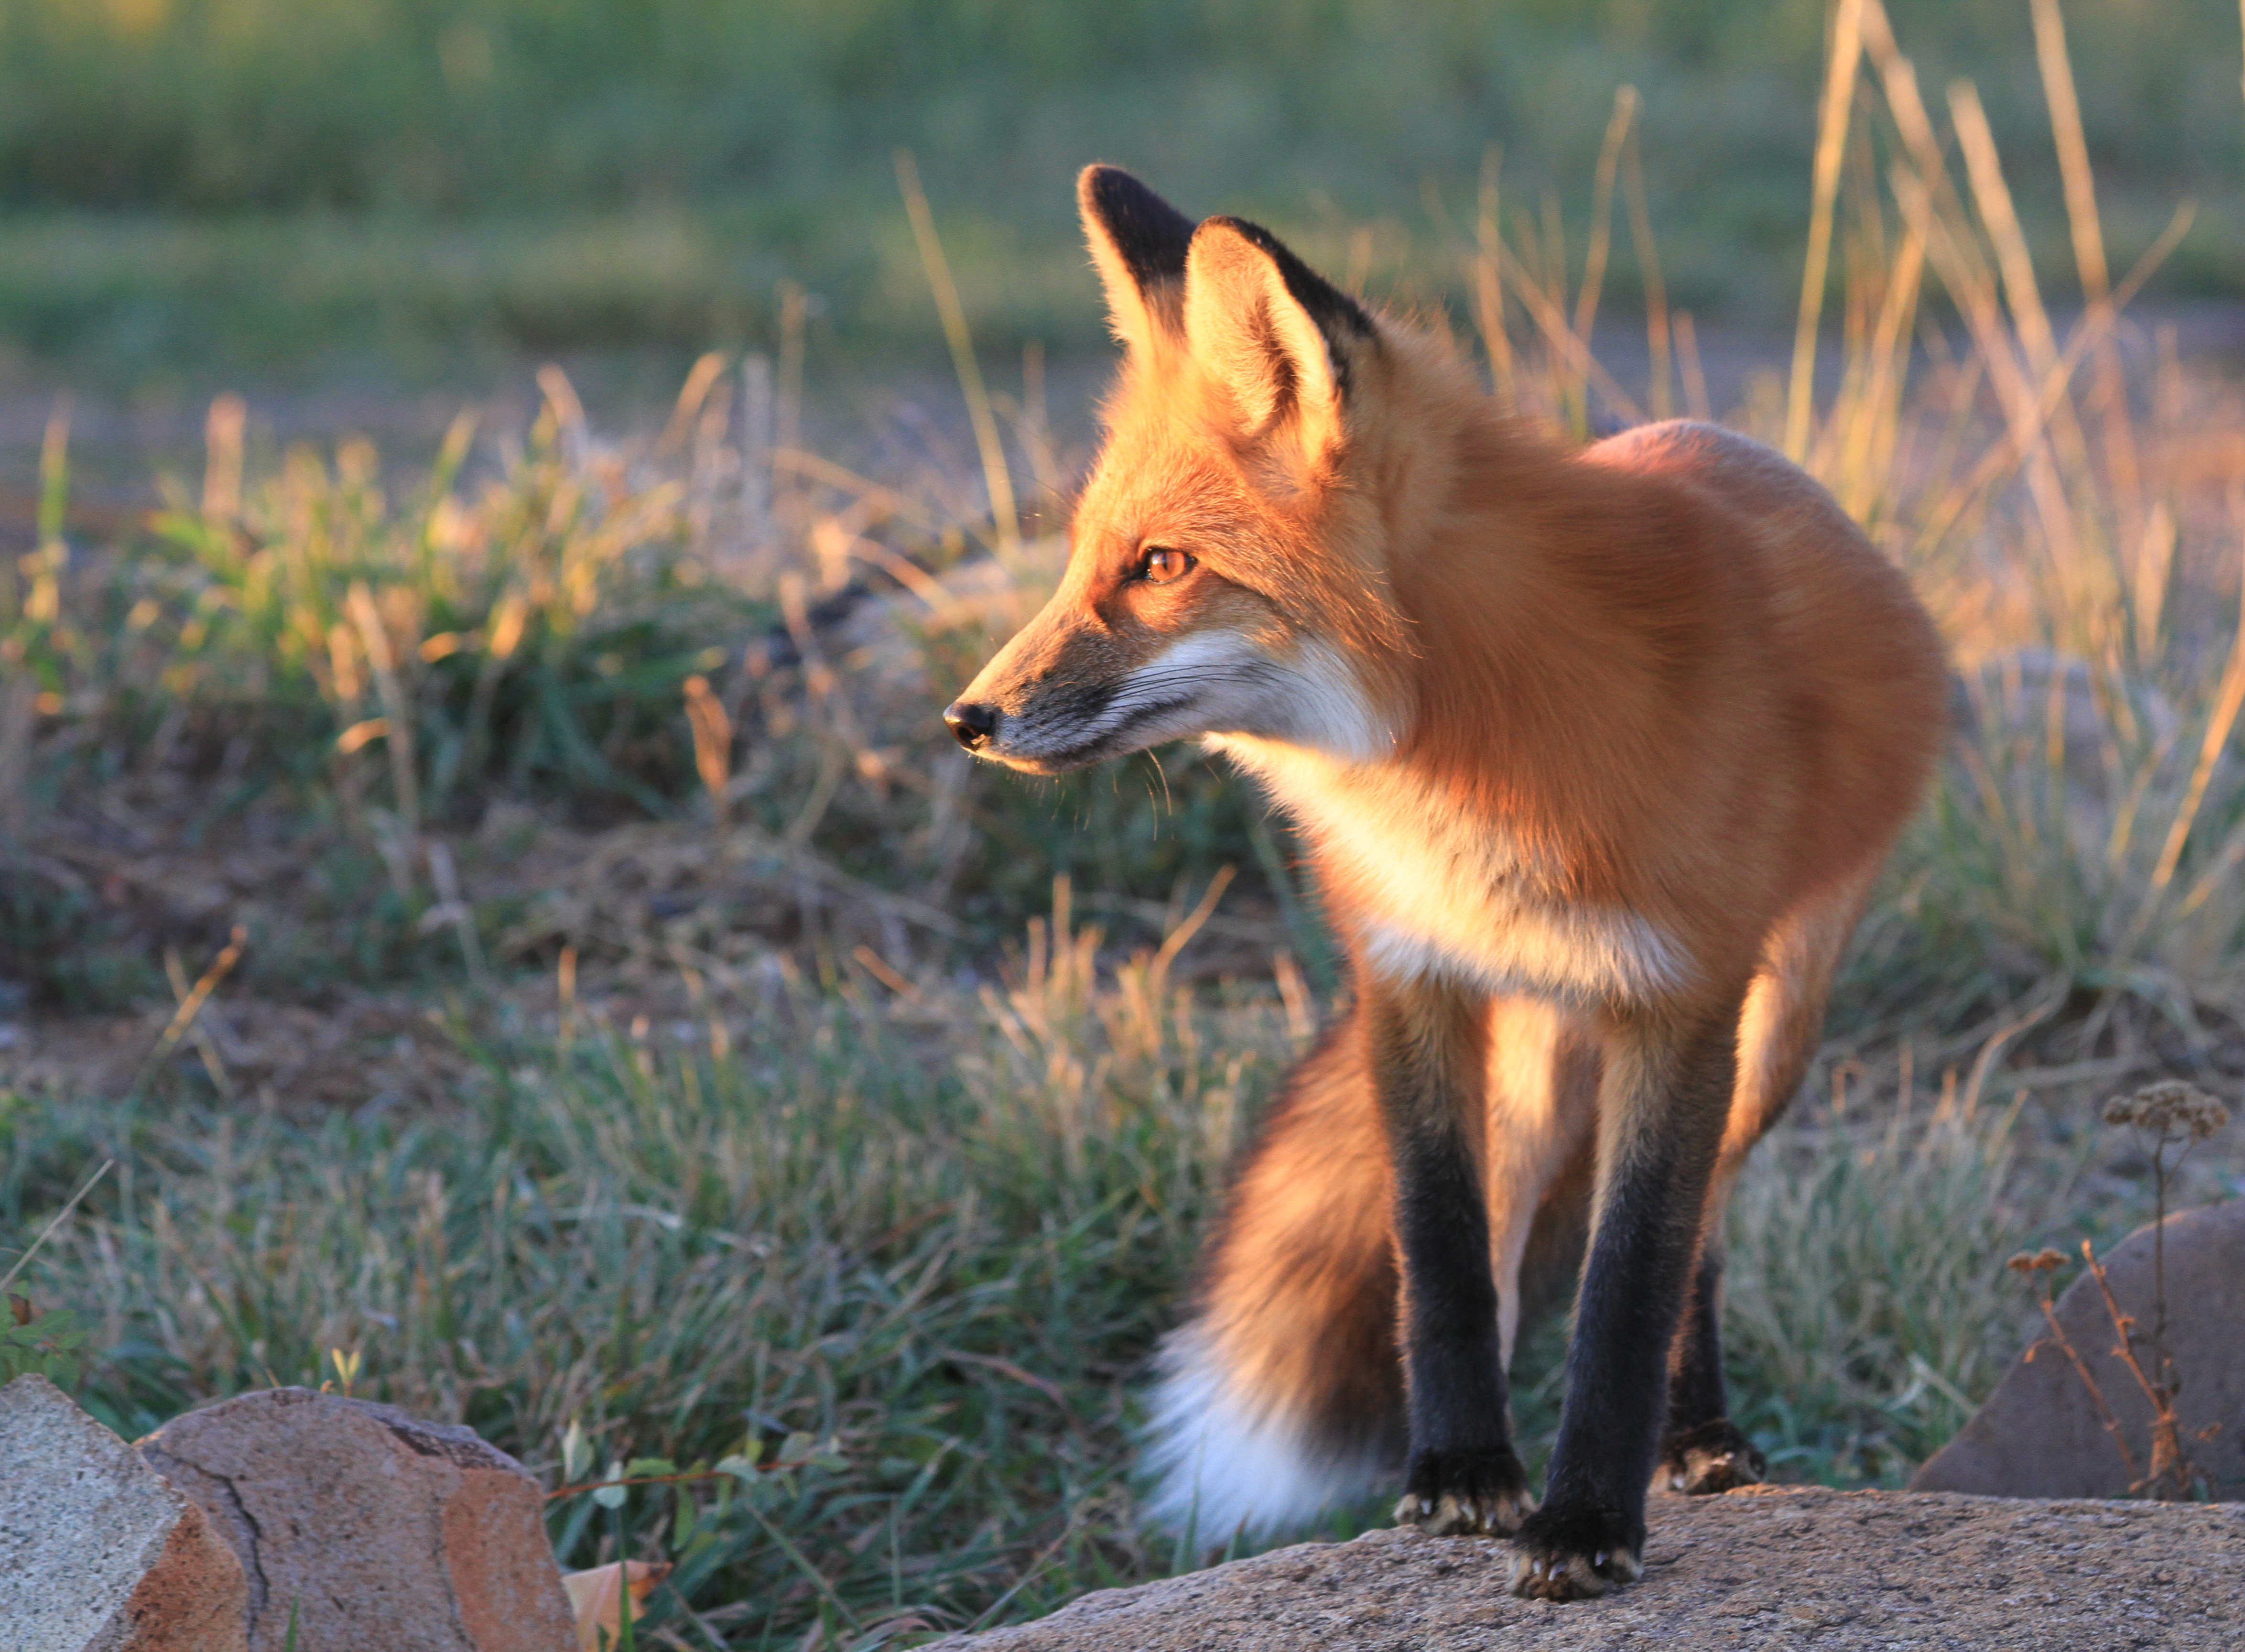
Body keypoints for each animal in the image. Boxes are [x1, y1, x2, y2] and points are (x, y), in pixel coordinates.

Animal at [938, 170, 1940, 1598]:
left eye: (1163, 567)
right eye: (1087, 557)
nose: (967, 718)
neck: (1467, 782)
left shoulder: (1681, 997)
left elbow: (1632, 1278)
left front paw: (1585, 1520)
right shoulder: (1411, 975)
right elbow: (1442, 1253)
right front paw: (1464, 1471)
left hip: (1773, 1029)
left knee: (1701, 1229)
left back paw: (1693, 1434)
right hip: (1530, 1063)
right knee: (1515, 1239)